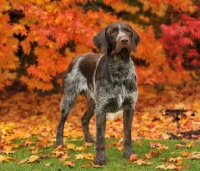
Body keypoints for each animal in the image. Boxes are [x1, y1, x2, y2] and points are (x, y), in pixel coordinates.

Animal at [55, 22, 140, 165]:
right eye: (113, 32)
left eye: (128, 31)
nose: (124, 40)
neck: (119, 69)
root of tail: (77, 58)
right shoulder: (101, 109)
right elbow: (100, 137)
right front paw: (100, 158)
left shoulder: (129, 107)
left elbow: (127, 135)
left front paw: (129, 154)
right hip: (69, 99)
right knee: (61, 123)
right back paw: (59, 144)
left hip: (92, 104)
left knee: (84, 119)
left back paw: (89, 140)